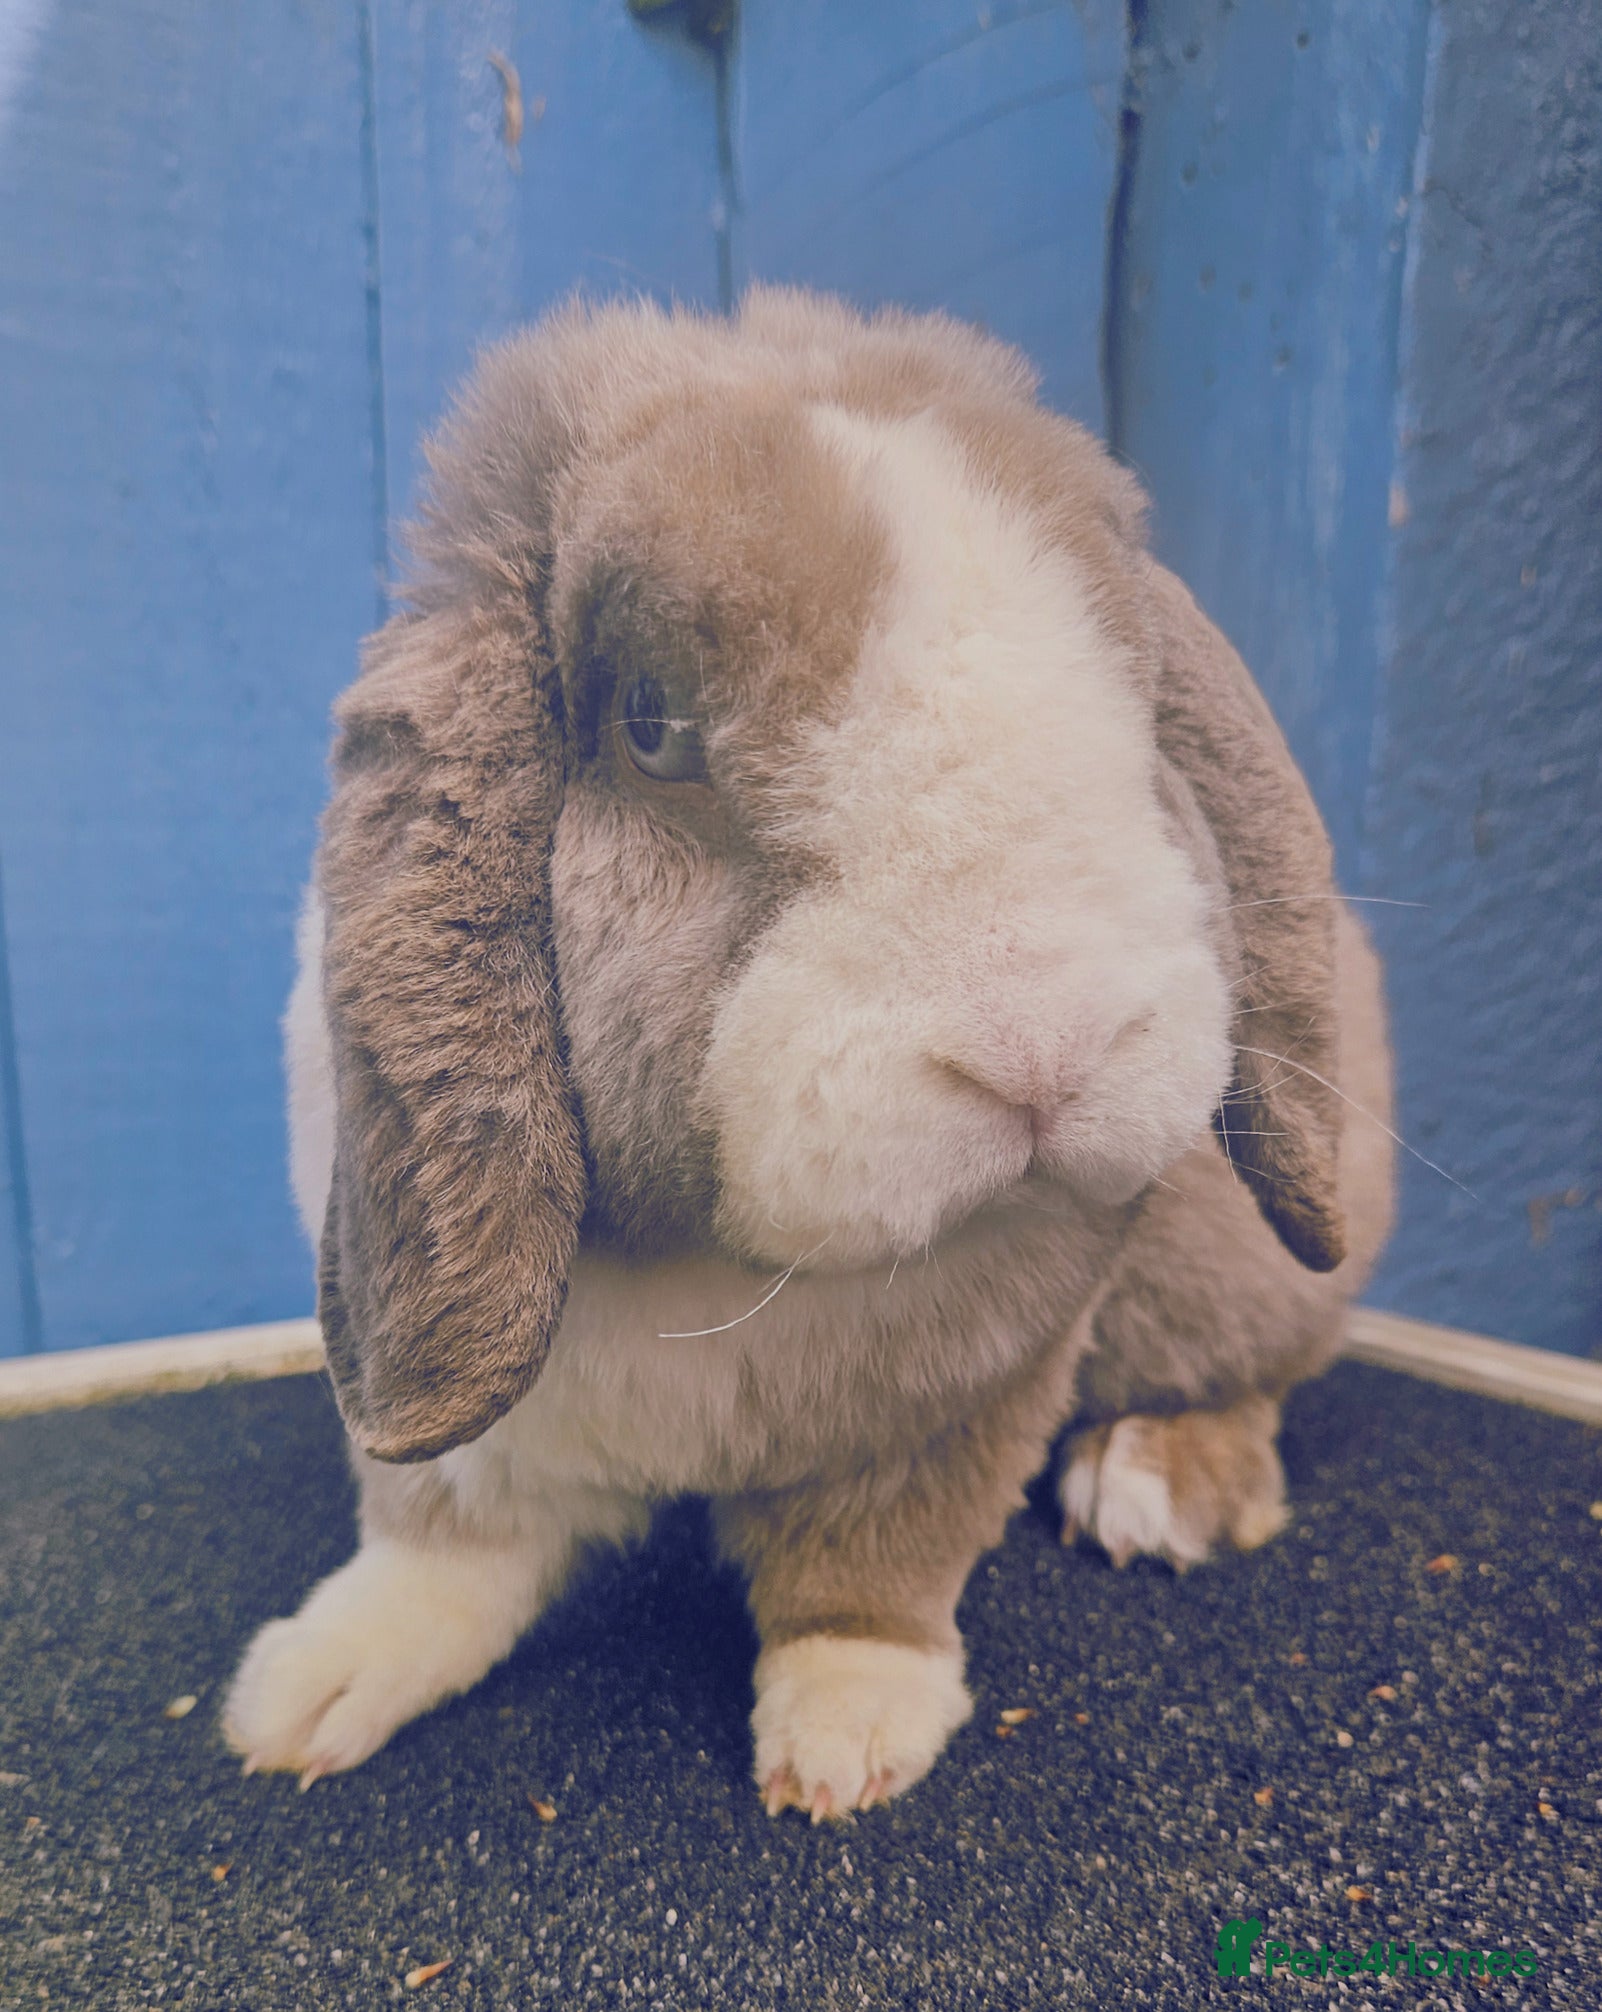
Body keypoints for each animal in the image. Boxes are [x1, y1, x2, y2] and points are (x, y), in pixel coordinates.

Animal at [223, 288, 1394, 1819]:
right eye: (651, 722)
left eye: (1138, 702)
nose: (1050, 1046)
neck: (719, 1271)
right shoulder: (474, 1436)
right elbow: (438, 1544)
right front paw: (310, 1689)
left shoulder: (970, 1397)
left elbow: (873, 1567)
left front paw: (848, 1735)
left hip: (1224, 1268)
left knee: (1269, 1368)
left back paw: (1156, 1478)